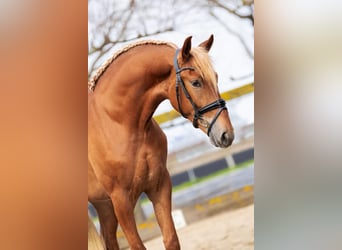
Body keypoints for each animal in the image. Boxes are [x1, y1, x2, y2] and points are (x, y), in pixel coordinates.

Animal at [87, 35, 234, 250]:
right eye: (196, 82)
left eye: (215, 78)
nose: (226, 134)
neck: (118, 122)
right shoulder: (120, 199)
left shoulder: (159, 186)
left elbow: (171, 239)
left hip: (103, 205)